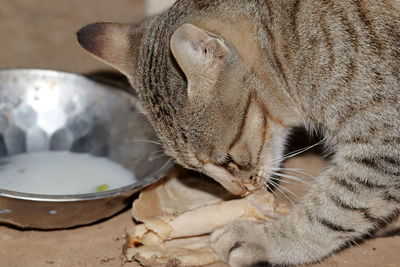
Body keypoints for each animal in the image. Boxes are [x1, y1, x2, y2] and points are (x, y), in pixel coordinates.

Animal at [76, 1, 398, 266]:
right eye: (194, 170)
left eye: (227, 160)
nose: (239, 193)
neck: (291, 45)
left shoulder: (385, 143)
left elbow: (335, 209)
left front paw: (269, 240)